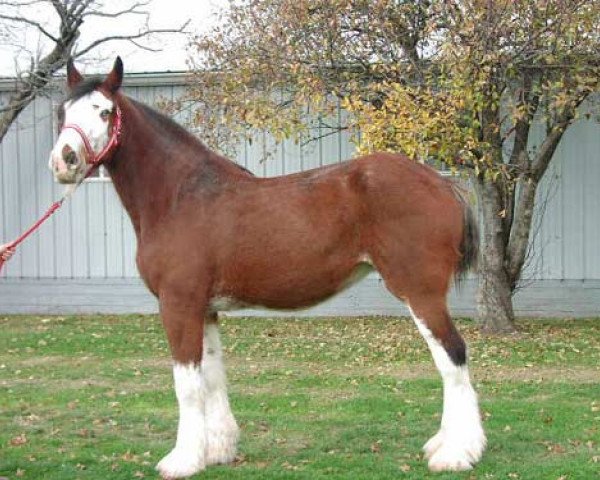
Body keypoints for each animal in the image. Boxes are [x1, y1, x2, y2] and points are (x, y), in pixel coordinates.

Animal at [48, 58, 488, 478]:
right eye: (62, 110)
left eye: (105, 111)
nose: (64, 160)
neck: (180, 196)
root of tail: (443, 184)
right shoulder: (205, 308)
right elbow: (212, 375)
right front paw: (218, 451)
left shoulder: (178, 304)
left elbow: (186, 384)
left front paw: (182, 460)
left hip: (420, 292)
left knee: (452, 356)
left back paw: (456, 454)